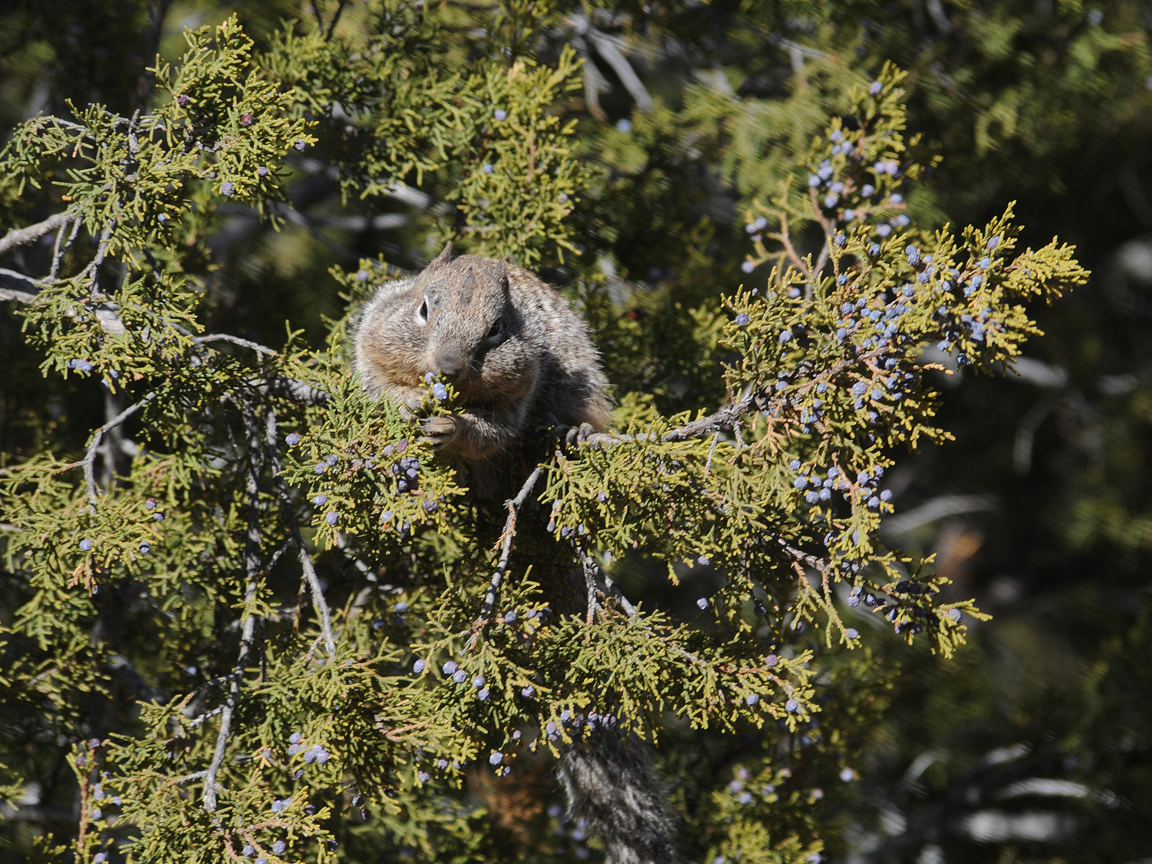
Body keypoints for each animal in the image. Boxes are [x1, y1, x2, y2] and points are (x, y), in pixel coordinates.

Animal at [353, 244, 679, 864]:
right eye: (424, 309)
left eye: (498, 331)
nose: (448, 367)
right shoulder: (373, 333)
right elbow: (376, 382)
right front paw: (407, 401)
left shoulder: (520, 389)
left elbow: (493, 431)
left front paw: (454, 427)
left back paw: (572, 437)